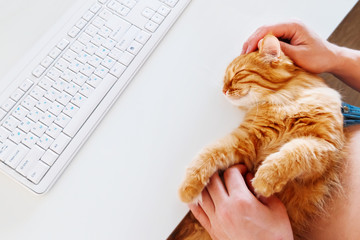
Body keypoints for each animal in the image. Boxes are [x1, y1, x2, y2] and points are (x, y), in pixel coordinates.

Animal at [179, 34, 344, 239]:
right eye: (225, 80)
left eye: (237, 75)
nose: (223, 90)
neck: (282, 104)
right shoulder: (243, 142)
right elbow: (205, 156)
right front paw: (187, 190)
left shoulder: (324, 146)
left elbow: (292, 153)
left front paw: (264, 180)